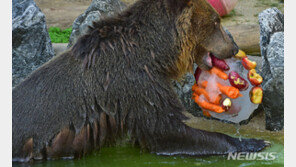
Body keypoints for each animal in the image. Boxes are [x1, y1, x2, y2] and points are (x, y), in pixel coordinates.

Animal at [12, 0, 268, 162]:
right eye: (216, 22)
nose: (233, 46)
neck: (155, 54)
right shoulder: (135, 82)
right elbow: (165, 130)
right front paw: (253, 143)